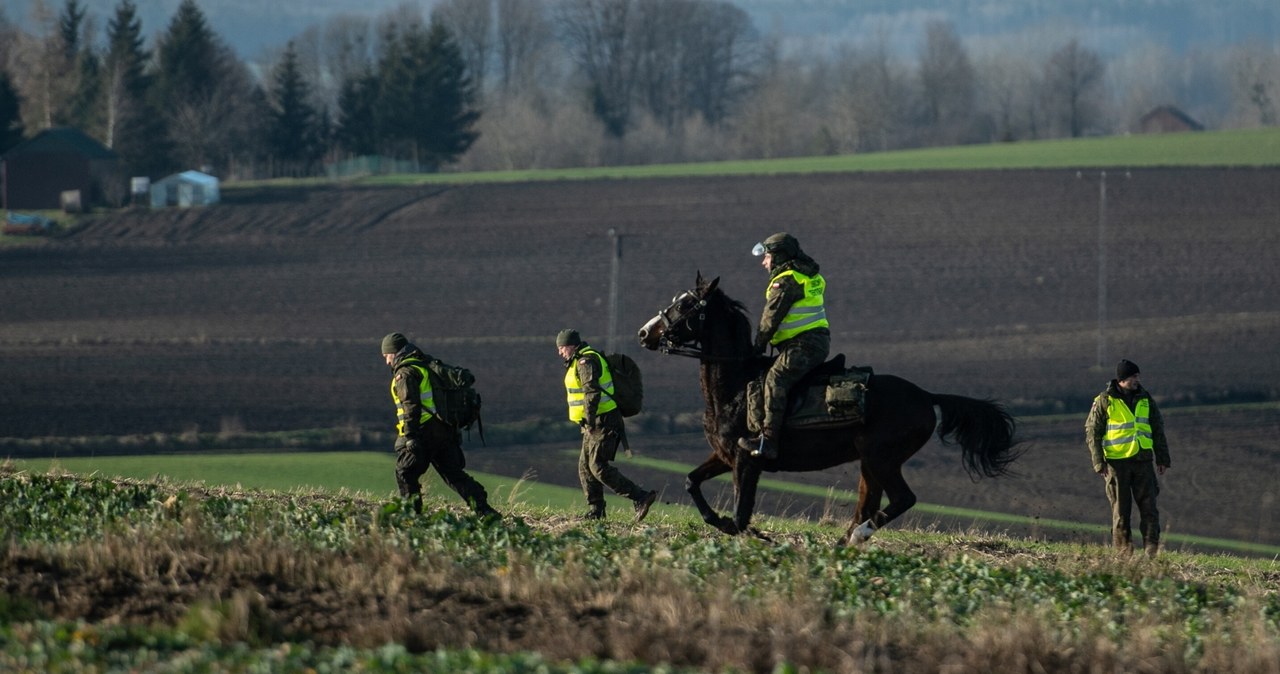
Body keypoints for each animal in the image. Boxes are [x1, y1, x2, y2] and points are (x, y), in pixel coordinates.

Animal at [634, 273, 1024, 547]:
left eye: (686, 305)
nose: (644, 333)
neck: (735, 386)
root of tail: (927, 396)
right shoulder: (724, 455)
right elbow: (691, 482)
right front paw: (720, 522)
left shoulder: (747, 461)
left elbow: (741, 514)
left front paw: (749, 532)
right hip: (870, 462)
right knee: (869, 502)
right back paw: (843, 542)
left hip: (883, 458)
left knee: (901, 499)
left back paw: (857, 536)